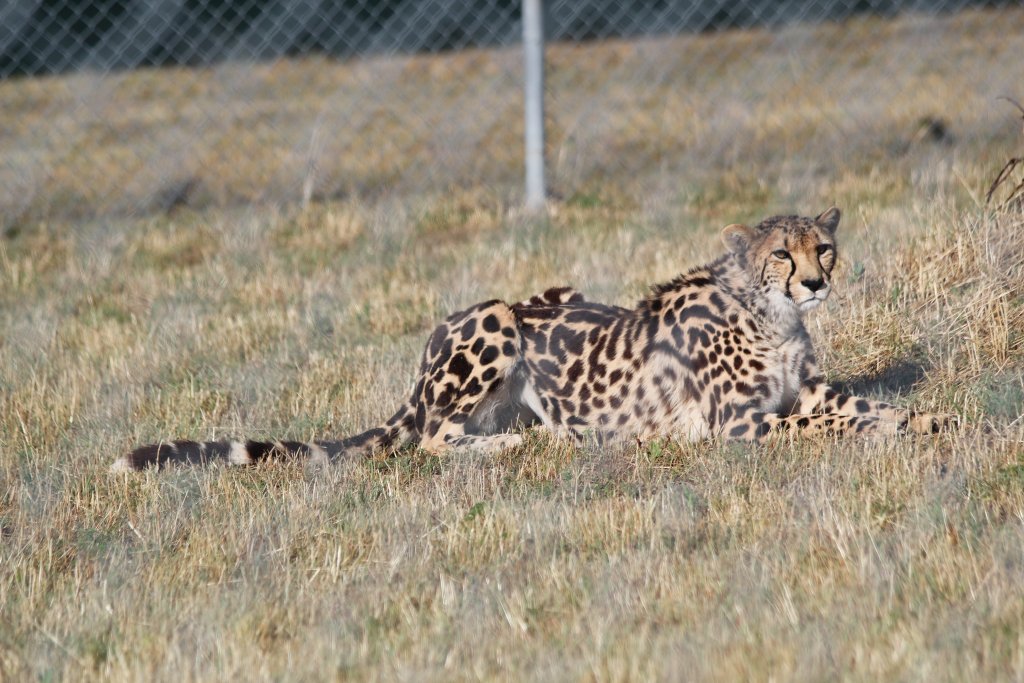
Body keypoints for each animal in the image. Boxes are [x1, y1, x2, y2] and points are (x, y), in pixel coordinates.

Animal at [112, 207, 952, 471]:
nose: (814, 282)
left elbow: (865, 407)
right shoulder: (742, 426)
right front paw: (891, 433)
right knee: (431, 441)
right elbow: (825, 428)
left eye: (824, 248)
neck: (768, 313)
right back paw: (524, 444)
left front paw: (937, 421)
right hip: (496, 319)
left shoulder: (807, 390)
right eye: (783, 252)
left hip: (553, 294)